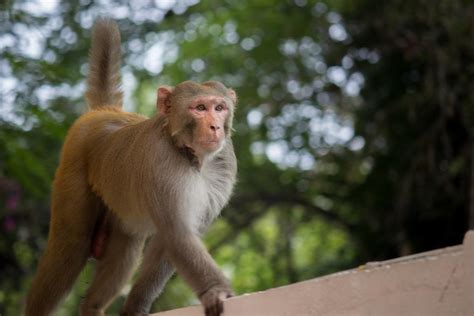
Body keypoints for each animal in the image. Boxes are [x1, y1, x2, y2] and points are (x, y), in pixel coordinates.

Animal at [25, 17, 237, 316]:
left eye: (219, 108)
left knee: (126, 248)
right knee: (71, 244)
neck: (192, 157)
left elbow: (169, 243)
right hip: (71, 172)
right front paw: (216, 291)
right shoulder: (161, 163)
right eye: (199, 108)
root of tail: (105, 112)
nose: (215, 127)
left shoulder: (225, 164)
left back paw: (91, 307)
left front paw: (135, 306)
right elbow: (177, 232)